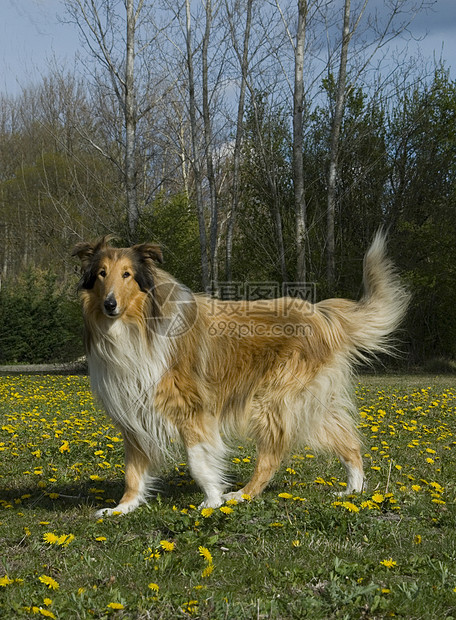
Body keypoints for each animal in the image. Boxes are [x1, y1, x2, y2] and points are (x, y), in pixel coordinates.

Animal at [73, 230, 408, 516]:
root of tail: (321, 314)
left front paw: (212, 500)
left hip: (271, 401)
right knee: (347, 441)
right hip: (310, 404)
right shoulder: (133, 412)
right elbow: (133, 471)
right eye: (101, 273)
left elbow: (198, 460)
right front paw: (123, 507)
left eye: (127, 274)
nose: (110, 304)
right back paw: (353, 489)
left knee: (271, 458)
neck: (137, 326)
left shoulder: (191, 408)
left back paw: (243, 494)